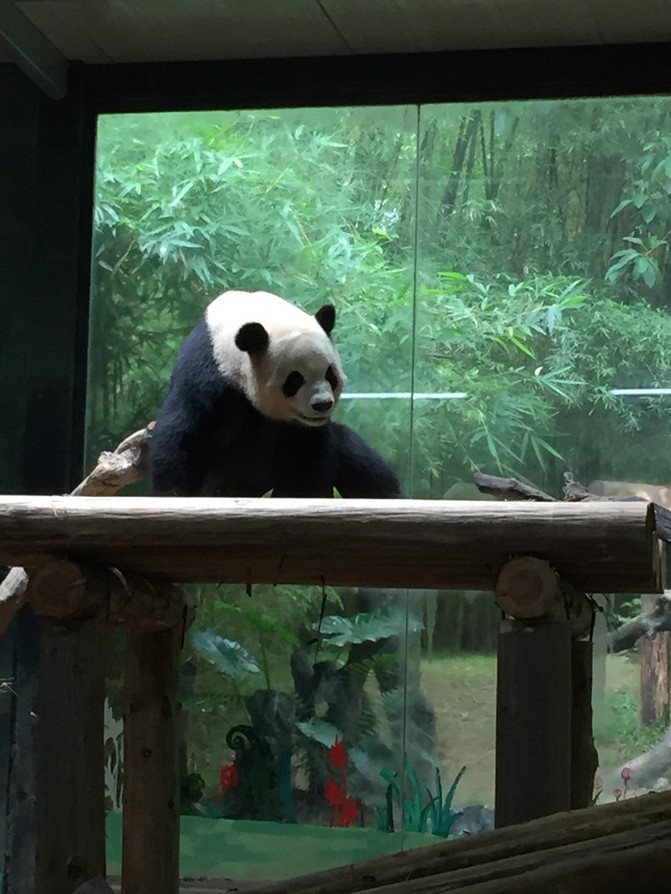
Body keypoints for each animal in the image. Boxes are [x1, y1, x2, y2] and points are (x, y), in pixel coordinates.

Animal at [150, 290, 402, 500]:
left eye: (330, 374)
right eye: (295, 380)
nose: (322, 404)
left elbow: (308, 455)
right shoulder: (208, 373)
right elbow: (182, 432)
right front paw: (172, 492)